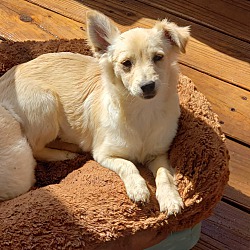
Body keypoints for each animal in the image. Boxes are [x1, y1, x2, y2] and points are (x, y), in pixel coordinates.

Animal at [0, 11, 189, 215]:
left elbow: (164, 174)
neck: (142, 111)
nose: (147, 86)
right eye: (126, 63)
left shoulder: (159, 153)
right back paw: (64, 155)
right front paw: (138, 188)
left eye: (158, 57)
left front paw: (170, 199)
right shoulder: (104, 154)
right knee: (36, 149)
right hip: (46, 105)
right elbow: (128, 165)